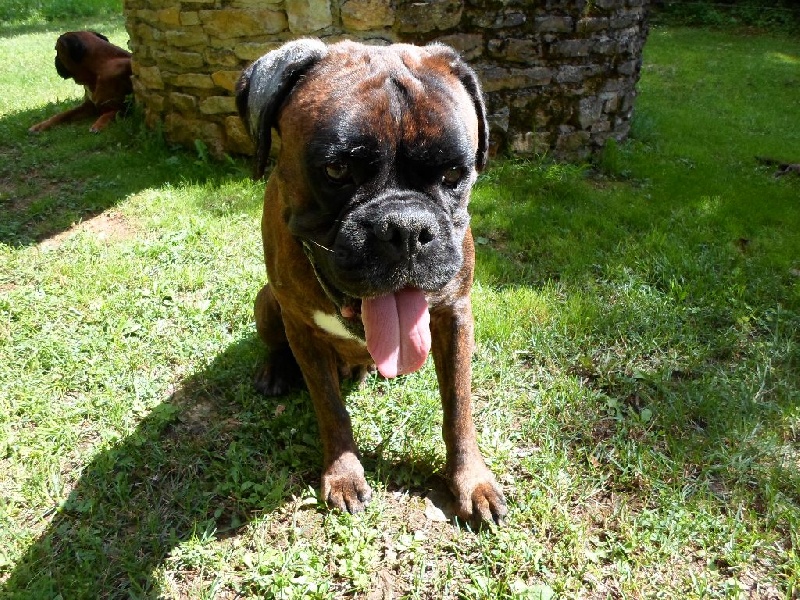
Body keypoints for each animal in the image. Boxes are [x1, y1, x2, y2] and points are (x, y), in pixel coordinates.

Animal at [236, 39, 507, 525]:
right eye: (337, 171)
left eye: (454, 175)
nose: (407, 228)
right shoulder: (301, 327)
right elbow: (330, 408)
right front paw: (343, 474)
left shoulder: (455, 313)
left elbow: (459, 407)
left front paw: (471, 480)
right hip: (266, 304)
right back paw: (275, 370)